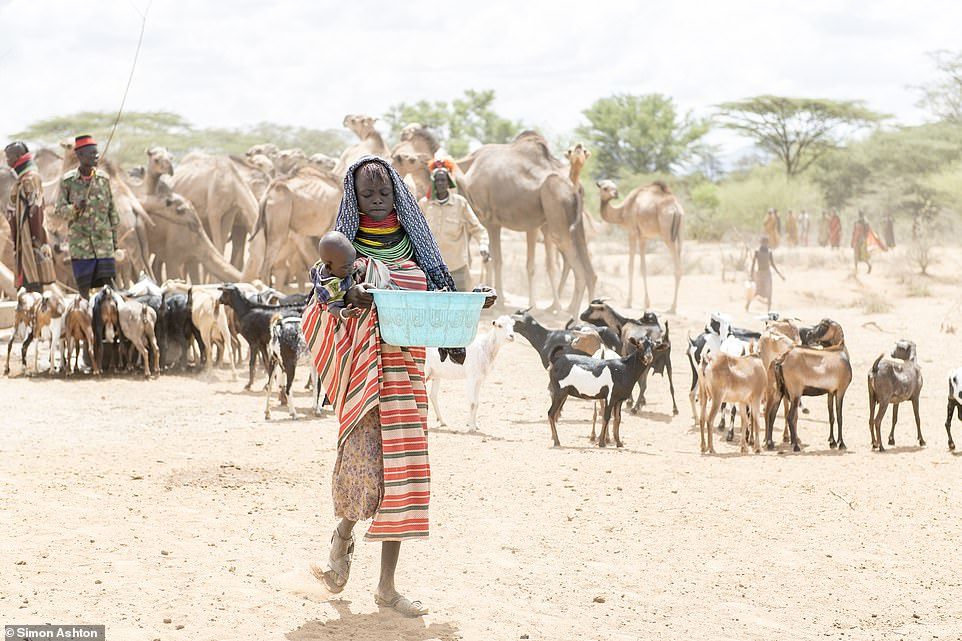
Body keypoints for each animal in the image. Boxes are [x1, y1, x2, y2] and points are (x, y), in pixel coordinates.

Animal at [451, 131, 596, 315]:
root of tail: (574, 187)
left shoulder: (489, 220)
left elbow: (495, 260)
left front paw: (499, 302)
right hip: (576, 226)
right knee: (590, 273)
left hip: (558, 221)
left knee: (579, 272)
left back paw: (572, 315)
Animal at [596, 179, 684, 314]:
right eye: (605, 188)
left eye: (614, 187)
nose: (615, 194)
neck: (622, 212)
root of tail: (676, 208)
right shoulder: (643, 237)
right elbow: (643, 268)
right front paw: (646, 303)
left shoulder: (632, 232)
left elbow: (631, 267)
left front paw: (628, 302)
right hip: (680, 234)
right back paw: (673, 307)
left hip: (667, 236)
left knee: (677, 269)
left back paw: (672, 308)